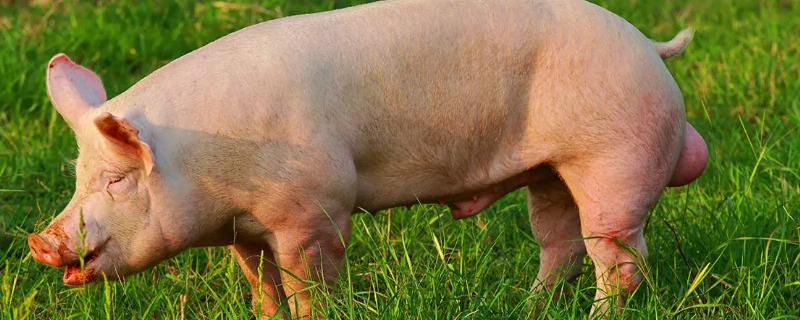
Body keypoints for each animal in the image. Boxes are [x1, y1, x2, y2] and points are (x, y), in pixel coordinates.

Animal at [29, 0, 708, 318]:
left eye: (117, 179)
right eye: (77, 178)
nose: (42, 240)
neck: (210, 165)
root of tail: (650, 46)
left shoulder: (315, 208)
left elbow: (308, 280)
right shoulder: (241, 229)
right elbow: (259, 283)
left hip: (614, 158)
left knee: (618, 257)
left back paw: (596, 311)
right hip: (550, 171)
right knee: (560, 241)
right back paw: (529, 305)